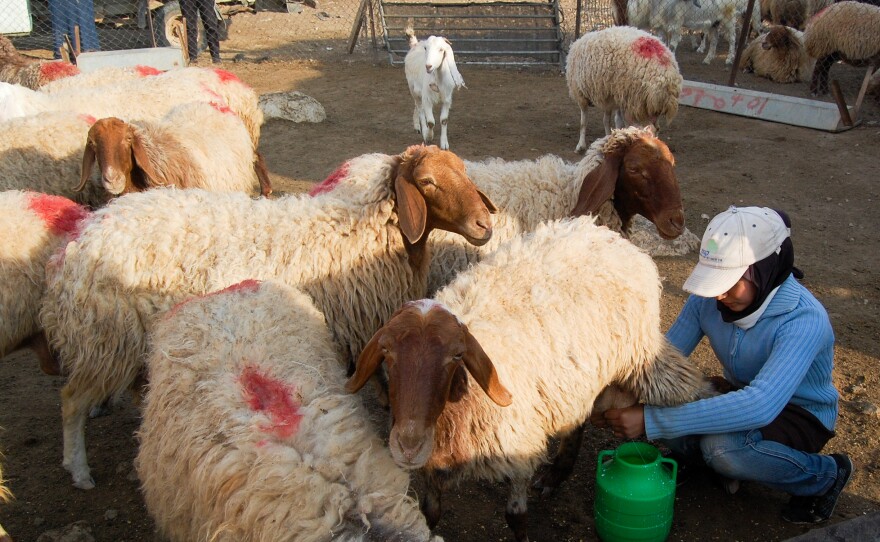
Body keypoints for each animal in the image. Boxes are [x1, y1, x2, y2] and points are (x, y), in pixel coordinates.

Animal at [40, 144, 496, 490]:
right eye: (428, 183)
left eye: (462, 171)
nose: (484, 225)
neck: (365, 230)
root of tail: (76, 243)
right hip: (106, 339)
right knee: (70, 401)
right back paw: (79, 470)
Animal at [346, 217, 715, 542]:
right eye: (387, 353)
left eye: (456, 356)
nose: (409, 445)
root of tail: (604, 232)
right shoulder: (432, 467)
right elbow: (430, 513)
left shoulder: (518, 447)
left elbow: (516, 517)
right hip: (575, 378)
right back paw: (557, 473)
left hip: (640, 358)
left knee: (689, 389)